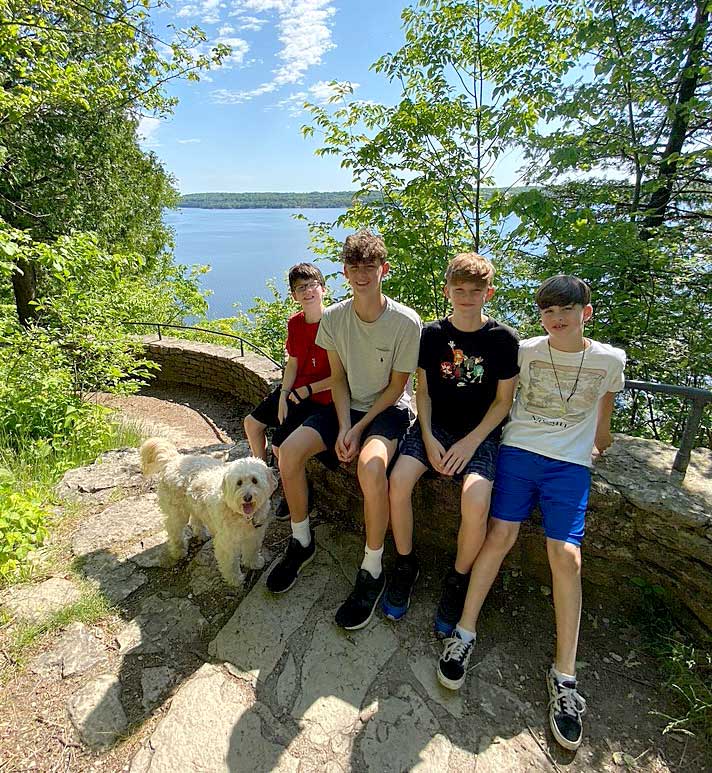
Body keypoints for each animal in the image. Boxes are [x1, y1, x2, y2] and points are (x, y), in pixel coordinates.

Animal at [138, 434, 276, 584]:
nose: (247, 497)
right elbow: (231, 563)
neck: (243, 517)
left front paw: (254, 563)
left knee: (195, 520)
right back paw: (179, 550)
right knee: (174, 529)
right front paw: (235, 579)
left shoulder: (254, 535)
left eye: (255, 480)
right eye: (239, 483)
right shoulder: (226, 543)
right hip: (178, 512)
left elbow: (252, 551)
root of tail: (174, 459)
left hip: (195, 504)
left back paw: (201, 534)